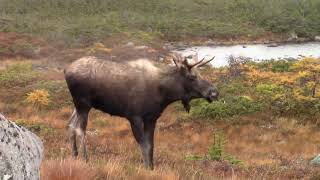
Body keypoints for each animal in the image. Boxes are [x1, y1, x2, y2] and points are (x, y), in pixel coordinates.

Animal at [63, 54, 219, 169]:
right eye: (192, 77)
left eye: (200, 73)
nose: (214, 92)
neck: (164, 93)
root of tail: (66, 70)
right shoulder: (134, 117)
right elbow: (143, 145)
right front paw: (145, 167)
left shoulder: (152, 118)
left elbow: (150, 145)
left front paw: (151, 168)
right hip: (83, 104)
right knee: (80, 129)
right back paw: (85, 159)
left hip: (78, 106)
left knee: (70, 125)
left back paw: (74, 155)